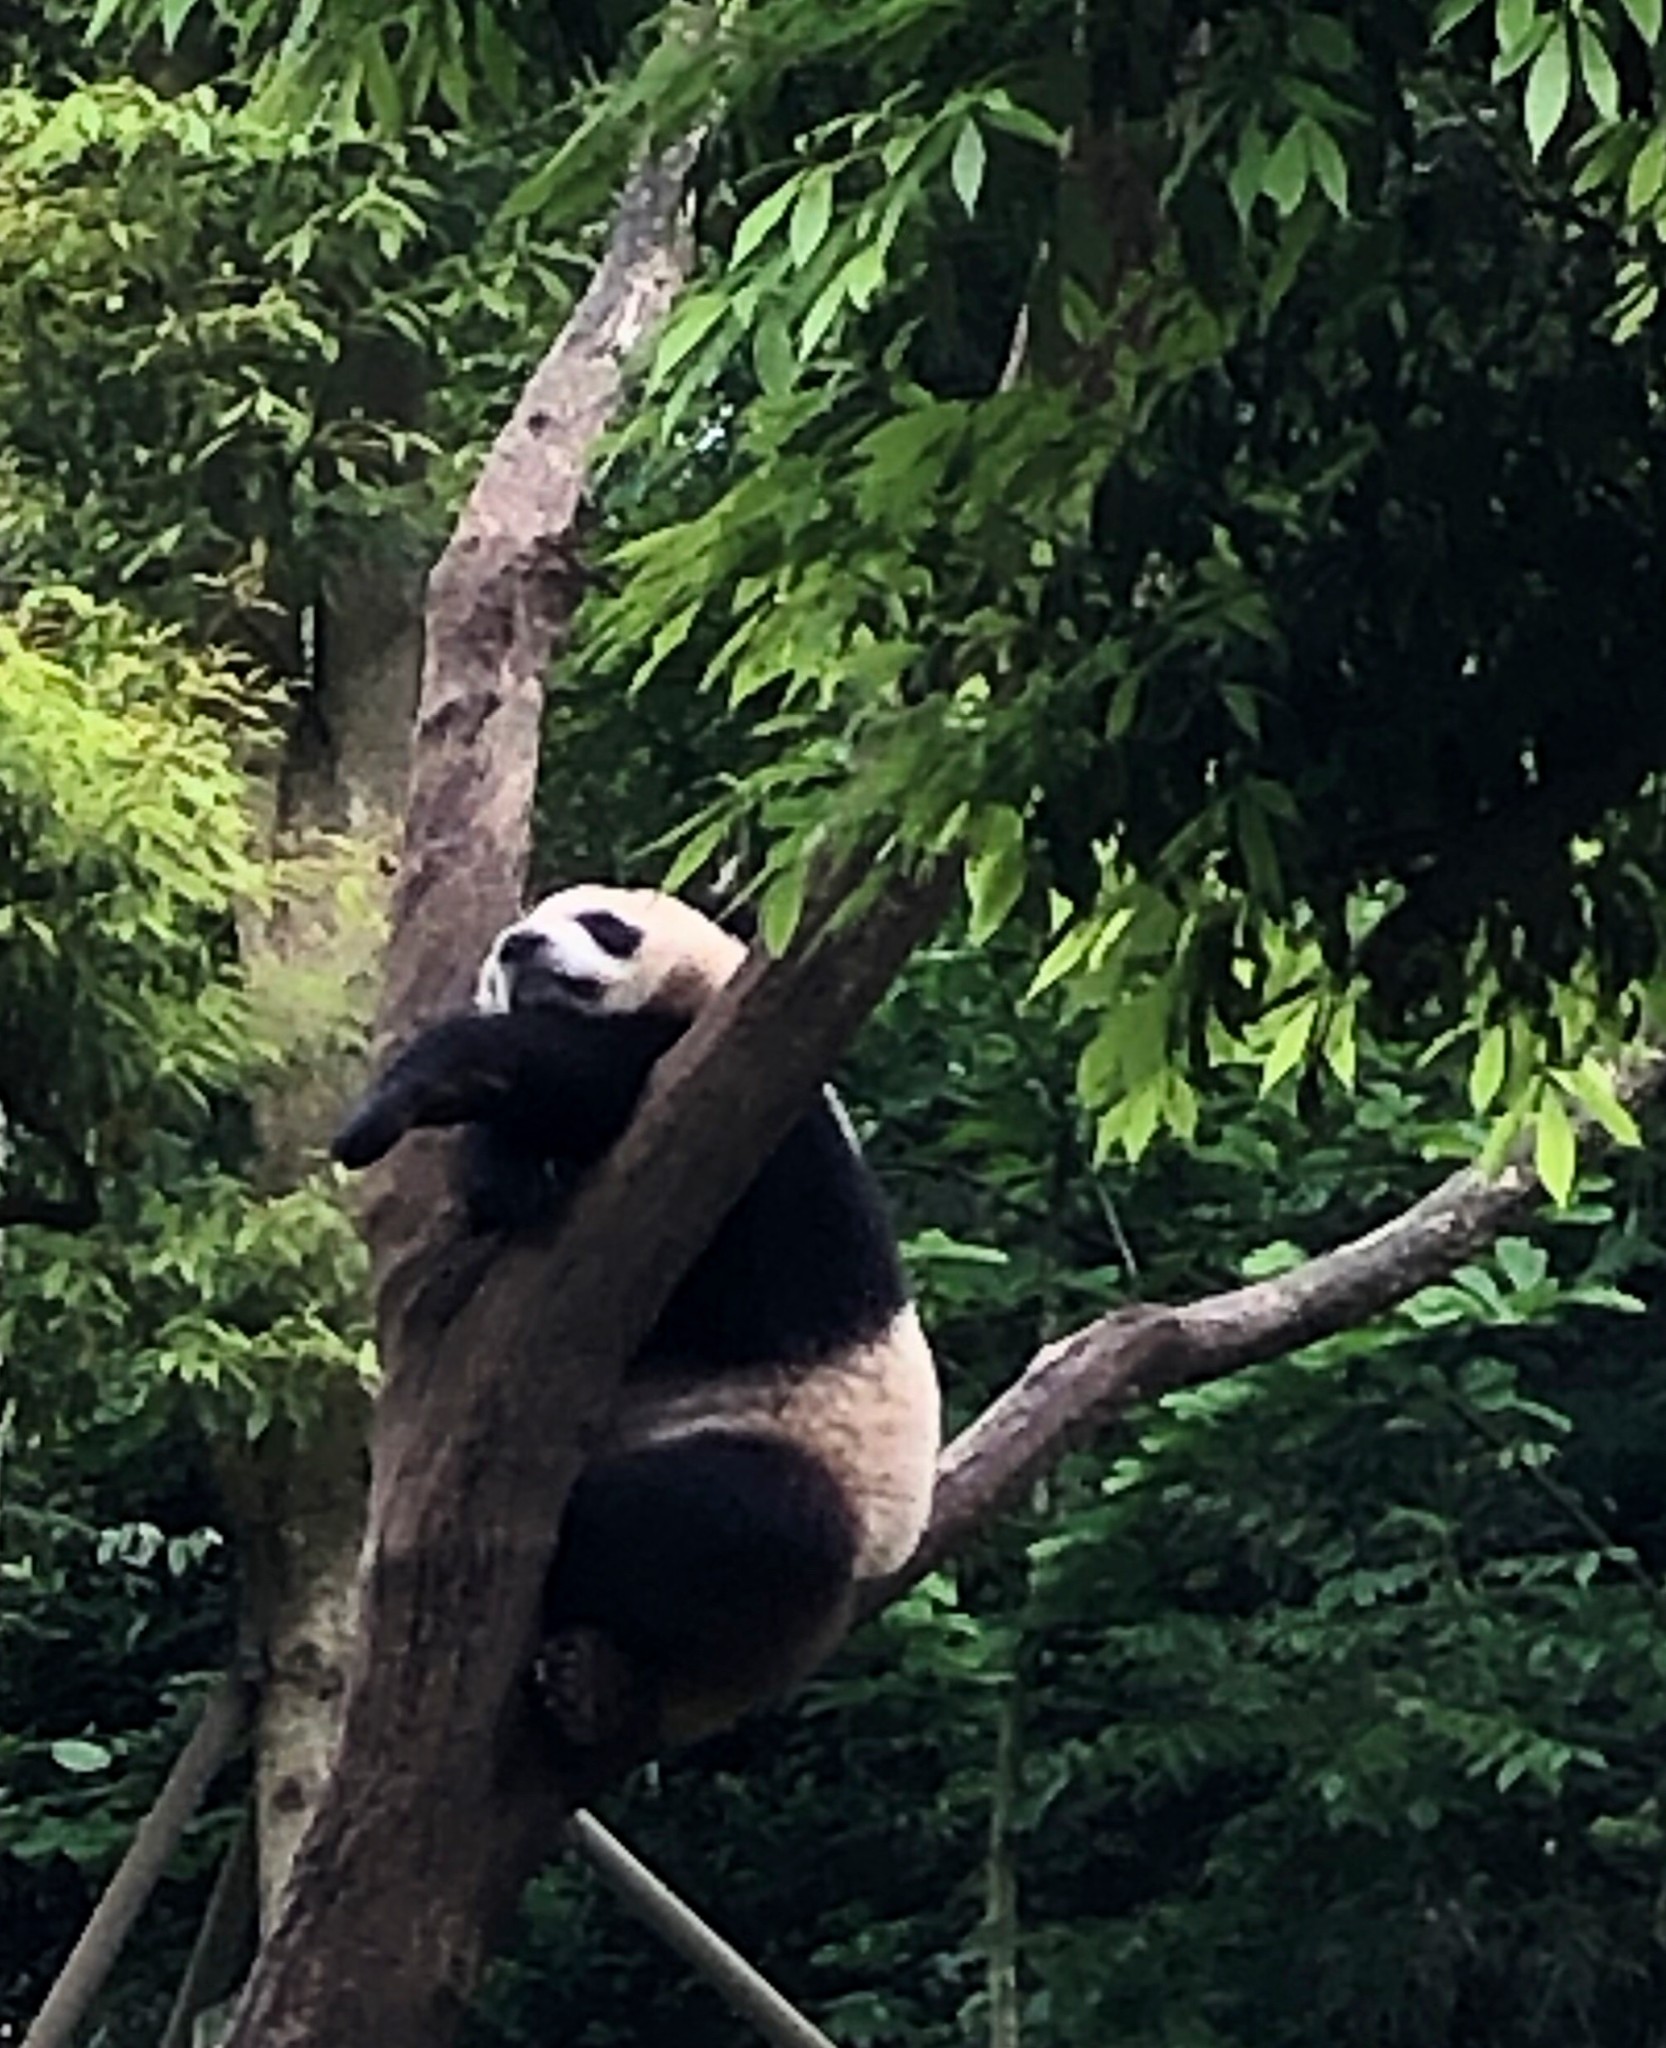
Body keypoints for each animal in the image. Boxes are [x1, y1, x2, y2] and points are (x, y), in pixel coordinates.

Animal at [332, 882, 941, 1768]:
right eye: (508, 937)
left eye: (604, 925)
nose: (519, 946)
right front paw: (509, 1173)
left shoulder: (753, 1131)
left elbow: (585, 1076)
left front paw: (404, 1096)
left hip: (798, 1480)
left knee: (732, 1520)